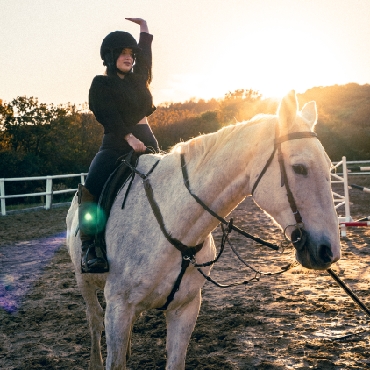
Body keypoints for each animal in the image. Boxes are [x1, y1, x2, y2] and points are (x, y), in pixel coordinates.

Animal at [67, 90, 342, 370]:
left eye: (330, 166)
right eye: (300, 168)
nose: (327, 251)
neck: (173, 227)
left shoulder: (185, 309)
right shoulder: (119, 308)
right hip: (84, 282)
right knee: (94, 319)